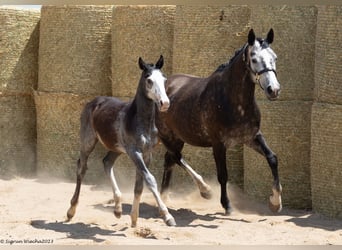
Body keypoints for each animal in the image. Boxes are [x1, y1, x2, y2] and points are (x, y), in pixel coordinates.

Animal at [66, 55, 176, 228]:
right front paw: (167, 216)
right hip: (87, 142)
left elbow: (139, 185)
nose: (164, 103)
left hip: (116, 148)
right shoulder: (134, 152)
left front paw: (134, 219)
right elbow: (150, 180)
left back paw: (118, 208)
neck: (140, 121)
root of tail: (94, 102)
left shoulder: (146, 153)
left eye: (164, 79)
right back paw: (71, 211)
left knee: (107, 162)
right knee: (81, 168)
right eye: (149, 79)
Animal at [156, 28, 282, 214]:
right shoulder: (218, 144)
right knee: (176, 157)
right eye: (254, 58)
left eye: (274, 57)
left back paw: (165, 197)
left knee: (170, 160)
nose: (273, 90)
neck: (233, 102)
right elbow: (223, 175)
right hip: (167, 136)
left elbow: (272, 158)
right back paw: (205, 190)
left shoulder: (252, 137)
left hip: (178, 137)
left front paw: (275, 202)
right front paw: (227, 205)